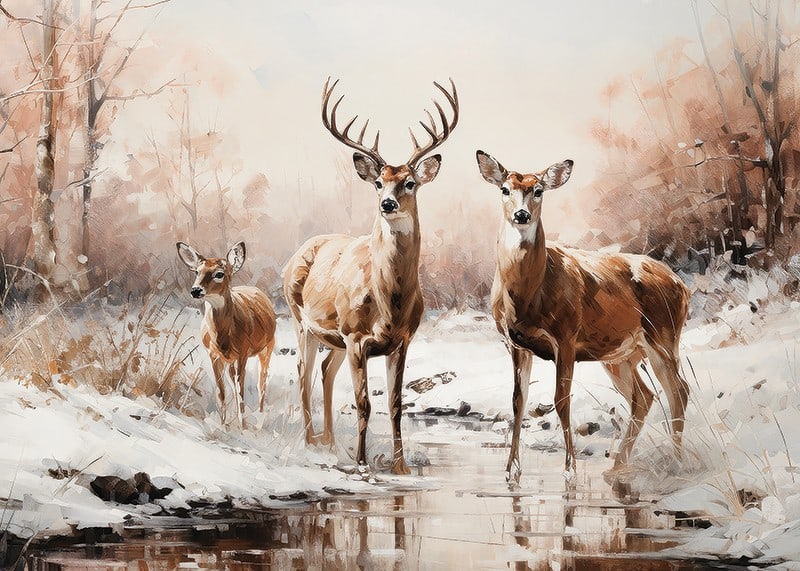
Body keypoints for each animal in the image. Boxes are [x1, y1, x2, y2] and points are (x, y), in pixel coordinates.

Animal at [177, 241, 277, 426]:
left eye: (219, 274)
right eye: (196, 271)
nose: (195, 290)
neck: (222, 338)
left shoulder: (243, 352)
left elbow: (241, 391)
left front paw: (242, 426)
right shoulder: (213, 354)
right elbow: (221, 392)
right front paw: (223, 425)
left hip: (268, 346)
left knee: (262, 381)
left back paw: (260, 417)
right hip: (231, 360)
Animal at [282, 78, 459, 475]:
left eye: (409, 183)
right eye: (378, 182)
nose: (387, 204)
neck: (389, 302)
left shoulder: (402, 341)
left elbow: (395, 405)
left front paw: (401, 468)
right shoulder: (355, 337)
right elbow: (363, 403)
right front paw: (363, 465)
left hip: (333, 339)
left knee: (324, 372)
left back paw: (331, 444)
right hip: (302, 320)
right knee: (302, 372)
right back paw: (309, 443)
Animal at [475, 150, 691, 484]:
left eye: (539, 190)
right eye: (505, 189)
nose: (521, 215)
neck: (525, 300)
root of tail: (681, 284)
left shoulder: (565, 336)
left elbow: (561, 401)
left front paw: (570, 470)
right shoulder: (515, 343)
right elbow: (518, 402)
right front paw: (511, 471)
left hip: (663, 335)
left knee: (678, 390)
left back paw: (676, 461)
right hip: (620, 355)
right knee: (644, 397)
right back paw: (619, 465)